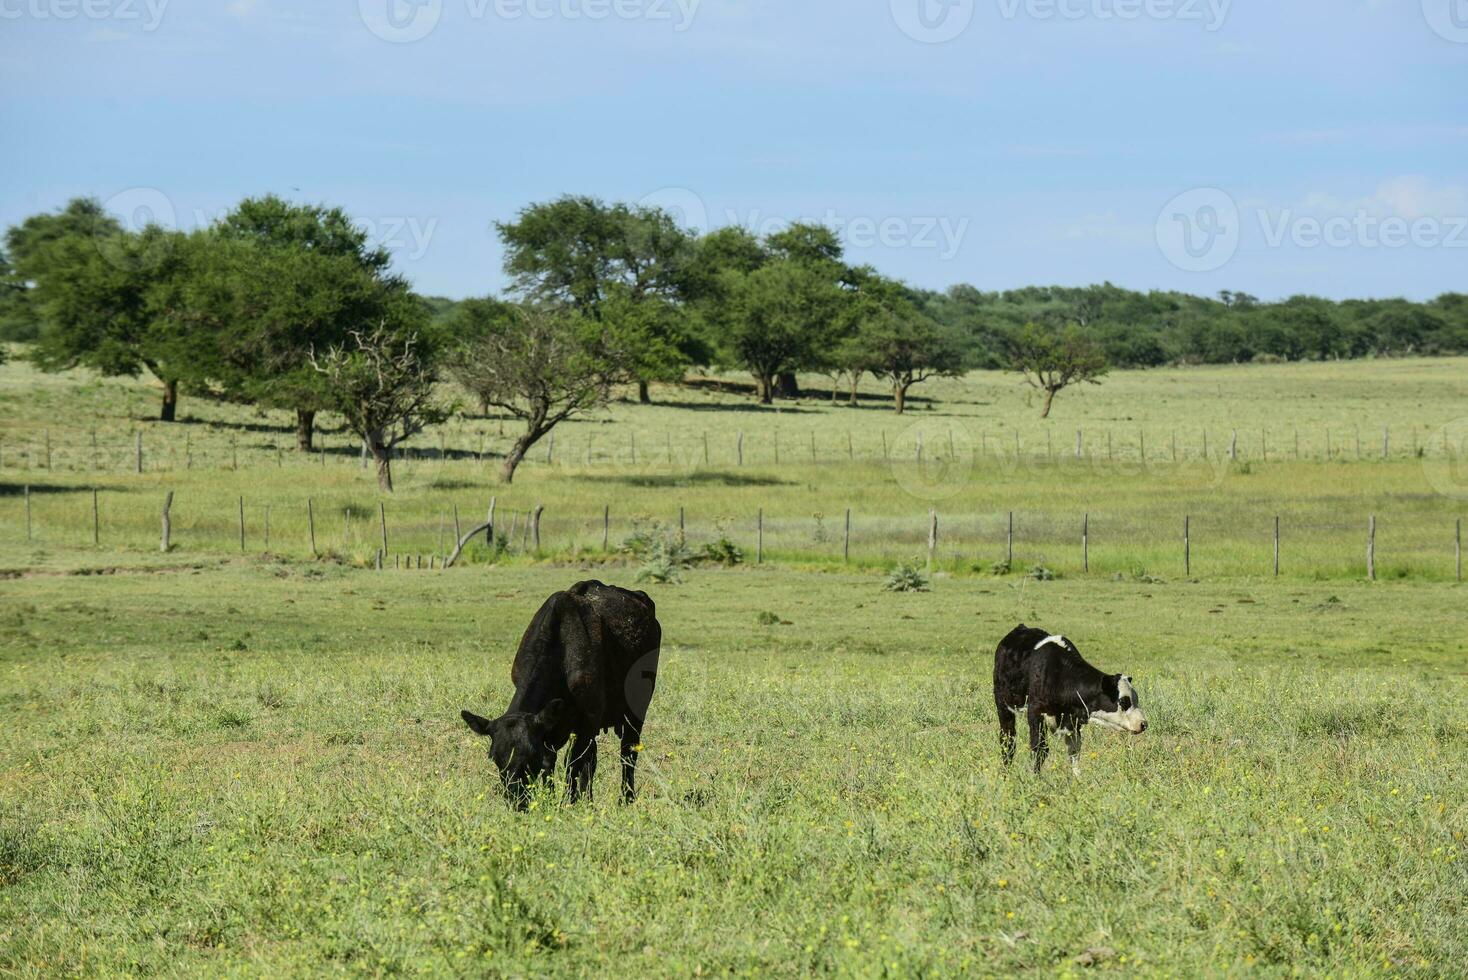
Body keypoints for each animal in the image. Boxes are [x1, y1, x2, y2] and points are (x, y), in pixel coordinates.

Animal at [463, 580, 660, 803]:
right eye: (495, 758)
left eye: (531, 756)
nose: (517, 800)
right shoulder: (551, 725)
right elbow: (553, 763)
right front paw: (551, 798)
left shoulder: (589, 720)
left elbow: (572, 763)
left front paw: (568, 802)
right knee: (592, 760)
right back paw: (589, 799)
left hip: (636, 711)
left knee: (627, 753)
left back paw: (626, 799)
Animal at [986, 624, 1145, 774]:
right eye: (1123, 701)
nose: (1144, 724)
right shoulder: (1035, 711)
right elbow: (1039, 749)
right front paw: (1035, 778)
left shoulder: (1073, 721)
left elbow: (1074, 751)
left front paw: (1078, 779)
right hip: (1003, 705)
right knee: (1008, 741)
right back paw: (1006, 773)